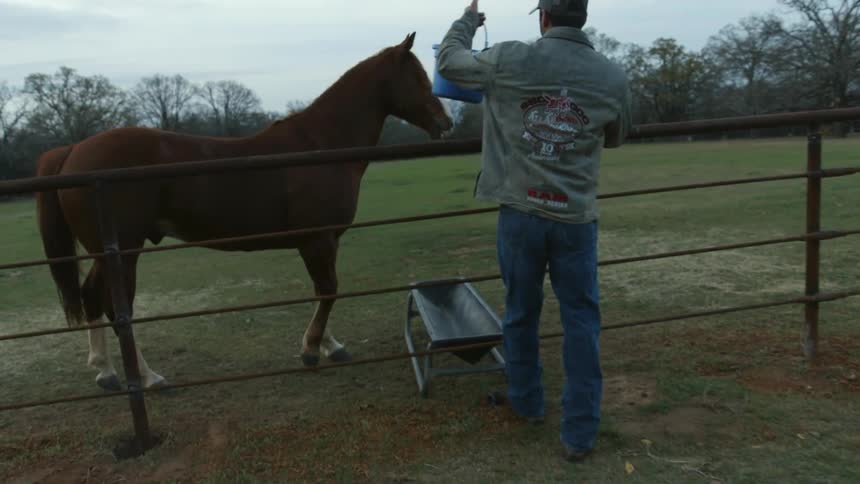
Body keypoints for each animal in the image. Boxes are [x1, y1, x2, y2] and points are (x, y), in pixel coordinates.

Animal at [35, 33, 453, 391]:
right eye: (418, 77)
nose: (446, 122)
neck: (319, 145)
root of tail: (74, 151)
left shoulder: (322, 242)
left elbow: (323, 291)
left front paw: (330, 345)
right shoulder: (317, 240)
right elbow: (329, 290)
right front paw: (311, 350)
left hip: (105, 255)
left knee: (92, 297)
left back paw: (105, 372)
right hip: (123, 254)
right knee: (115, 308)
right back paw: (150, 377)